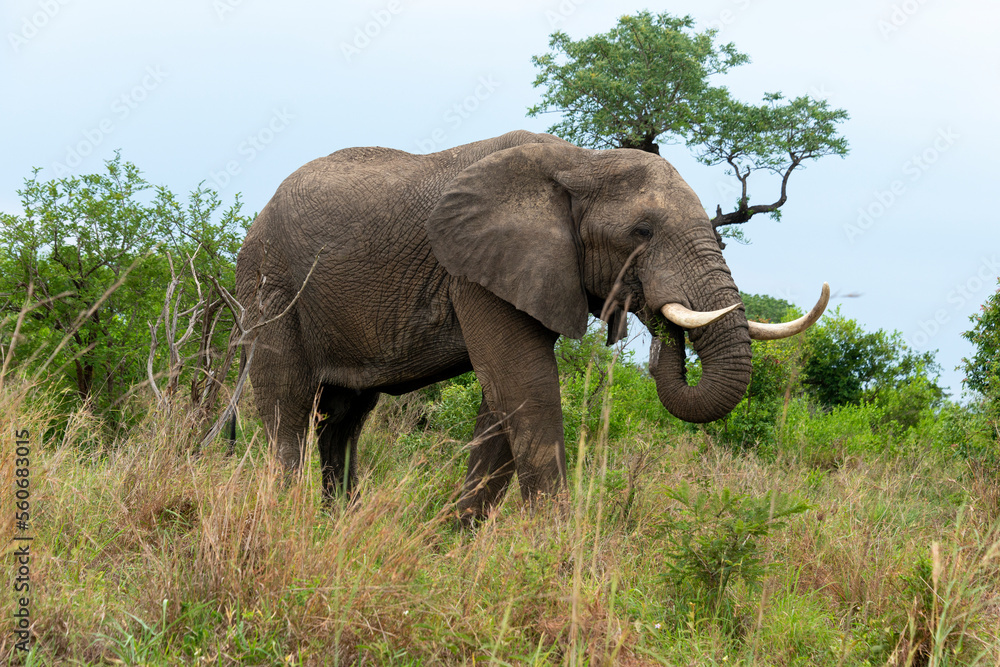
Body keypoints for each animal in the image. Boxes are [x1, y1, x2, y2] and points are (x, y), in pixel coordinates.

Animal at [236, 129, 828, 520]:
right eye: (640, 232)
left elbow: (503, 405)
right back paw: (282, 518)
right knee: (287, 407)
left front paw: (453, 540)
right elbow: (528, 388)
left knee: (344, 419)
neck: (582, 164)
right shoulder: (474, 269)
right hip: (271, 284)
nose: (657, 326)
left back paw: (339, 523)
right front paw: (555, 551)